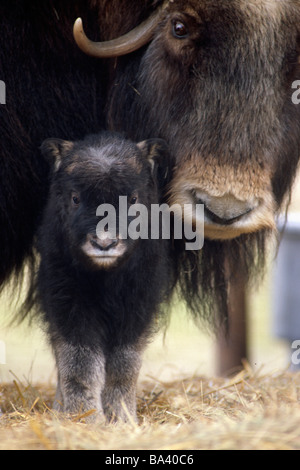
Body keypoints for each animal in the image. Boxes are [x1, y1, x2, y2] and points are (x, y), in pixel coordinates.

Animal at [36, 132, 172, 422]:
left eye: (133, 199)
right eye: (76, 198)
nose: (104, 243)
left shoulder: (137, 307)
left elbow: (124, 364)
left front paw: (121, 417)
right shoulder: (68, 303)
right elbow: (80, 363)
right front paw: (85, 417)